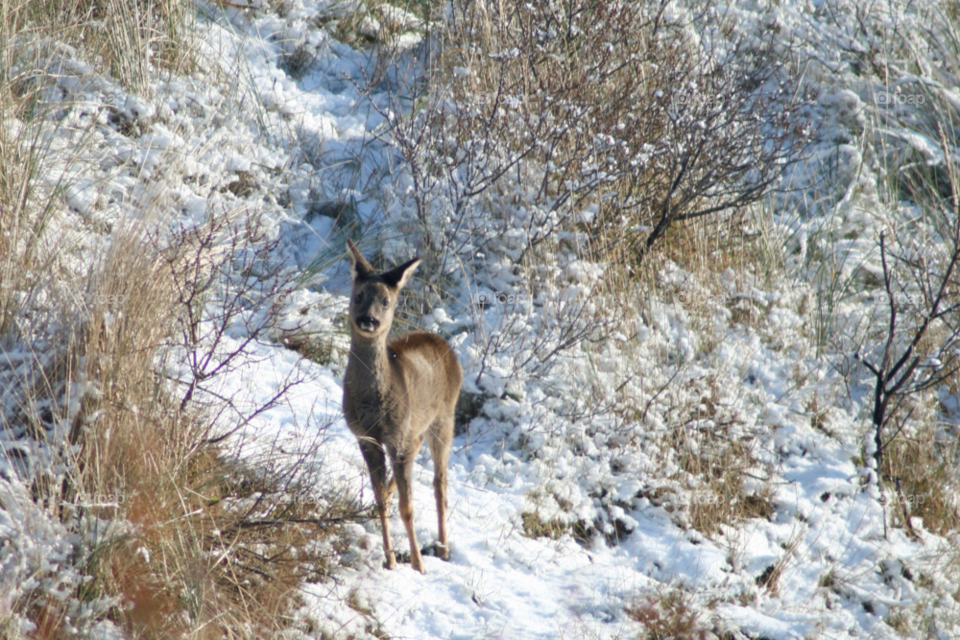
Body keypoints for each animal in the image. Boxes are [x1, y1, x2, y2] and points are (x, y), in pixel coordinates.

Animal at [344, 240, 464, 576]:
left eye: (386, 301)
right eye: (358, 295)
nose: (368, 320)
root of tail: (442, 342)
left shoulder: (395, 437)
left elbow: (408, 508)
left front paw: (418, 563)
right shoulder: (366, 437)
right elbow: (381, 498)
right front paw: (390, 558)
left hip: (445, 418)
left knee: (440, 483)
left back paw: (443, 546)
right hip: (415, 428)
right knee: (413, 461)